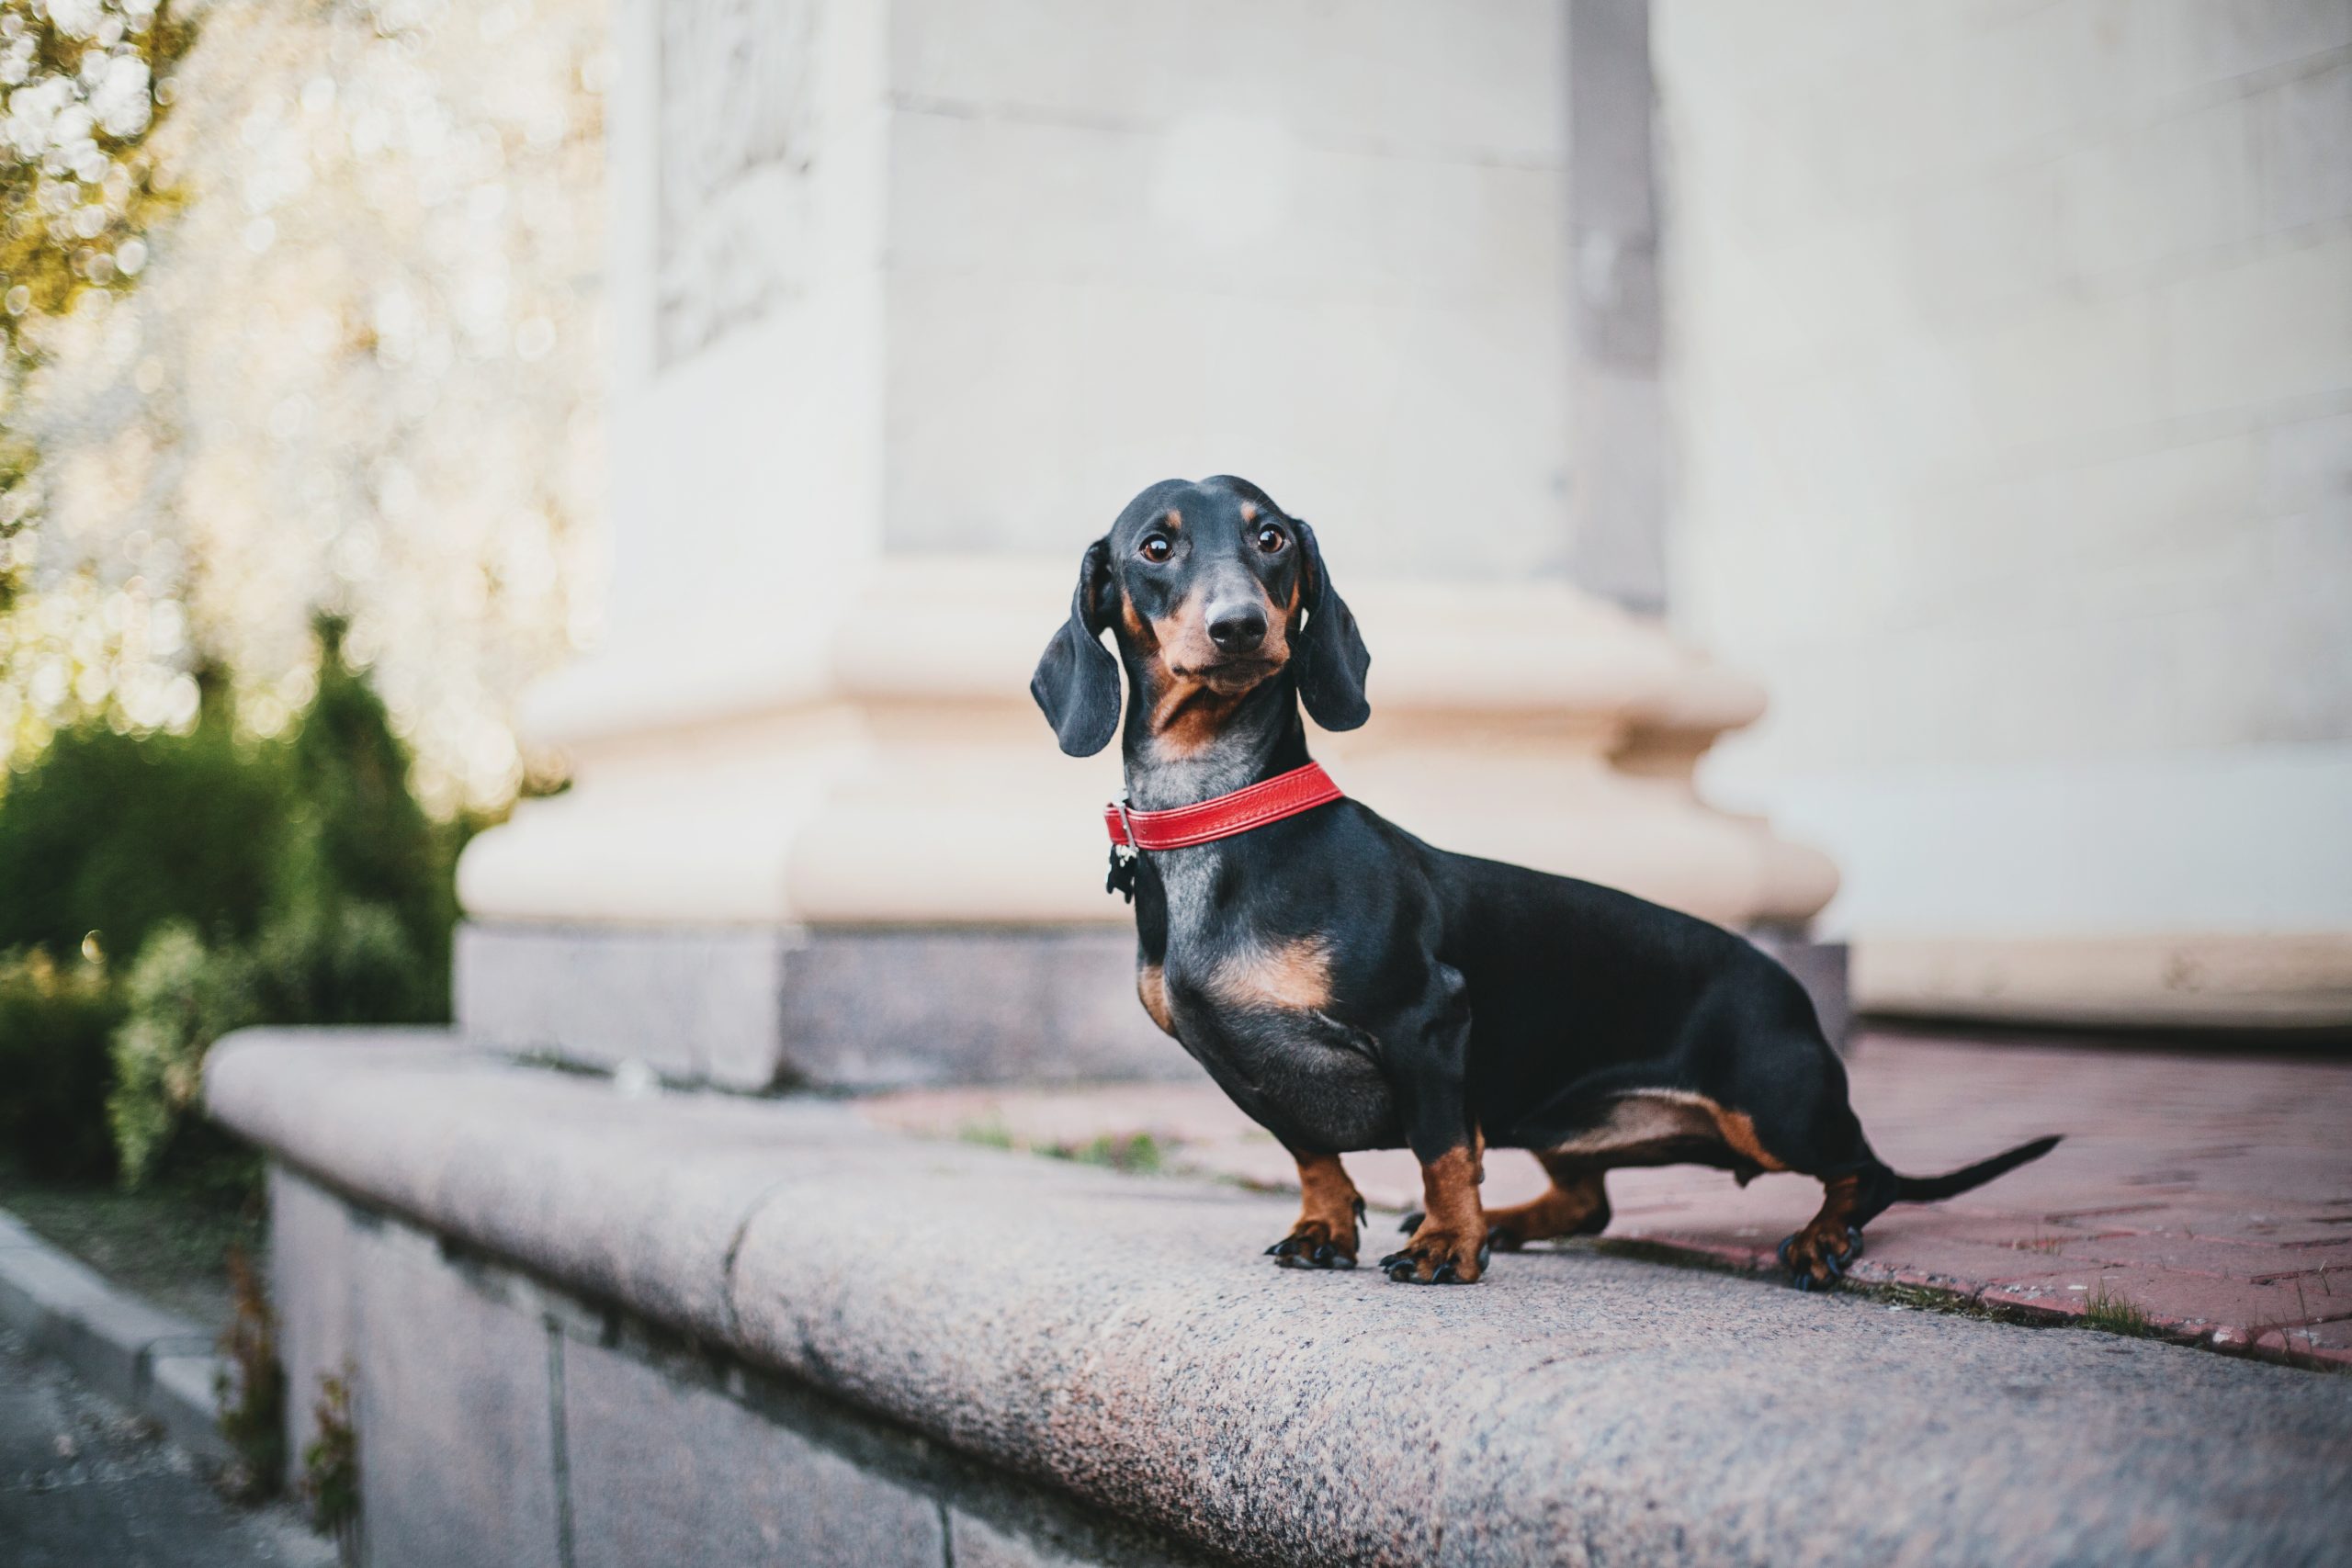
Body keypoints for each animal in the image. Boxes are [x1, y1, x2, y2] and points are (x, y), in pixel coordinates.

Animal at [1030, 479, 2060, 1288]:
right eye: (1155, 547)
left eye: (1271, 537)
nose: (1239, 626)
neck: (1221, 814)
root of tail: (1791, 996)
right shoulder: (1239, 1066)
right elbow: (1311, 1150)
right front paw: (1328, 1227)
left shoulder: (1428, 1020)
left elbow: (1443, 1147)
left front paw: (1450, 1245)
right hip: (1564, 1121)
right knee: (1586, 1202)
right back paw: (1517, 1220)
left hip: (1777, 1106)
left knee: (1867, 1172)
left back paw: (1817, 1235)